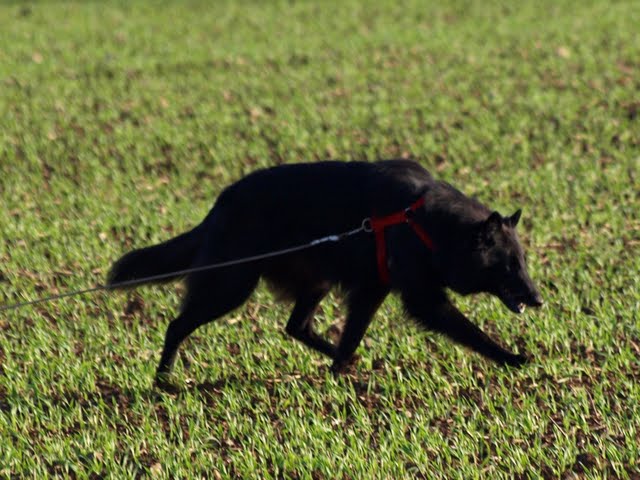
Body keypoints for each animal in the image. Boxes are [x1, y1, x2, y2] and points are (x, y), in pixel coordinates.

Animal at [107, 160, 544, 382]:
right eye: (509, 265)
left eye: (523, 262)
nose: (539, 299)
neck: (426, 221)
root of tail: (222, 202)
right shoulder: (420, 297)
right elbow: (469, 330)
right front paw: (511, 357)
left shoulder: (371, 289)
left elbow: (351, 335)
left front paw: (340, 371)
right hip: (230, 285)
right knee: (177, 326)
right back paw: (162, 381)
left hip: (312, 279)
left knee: (296, 326)